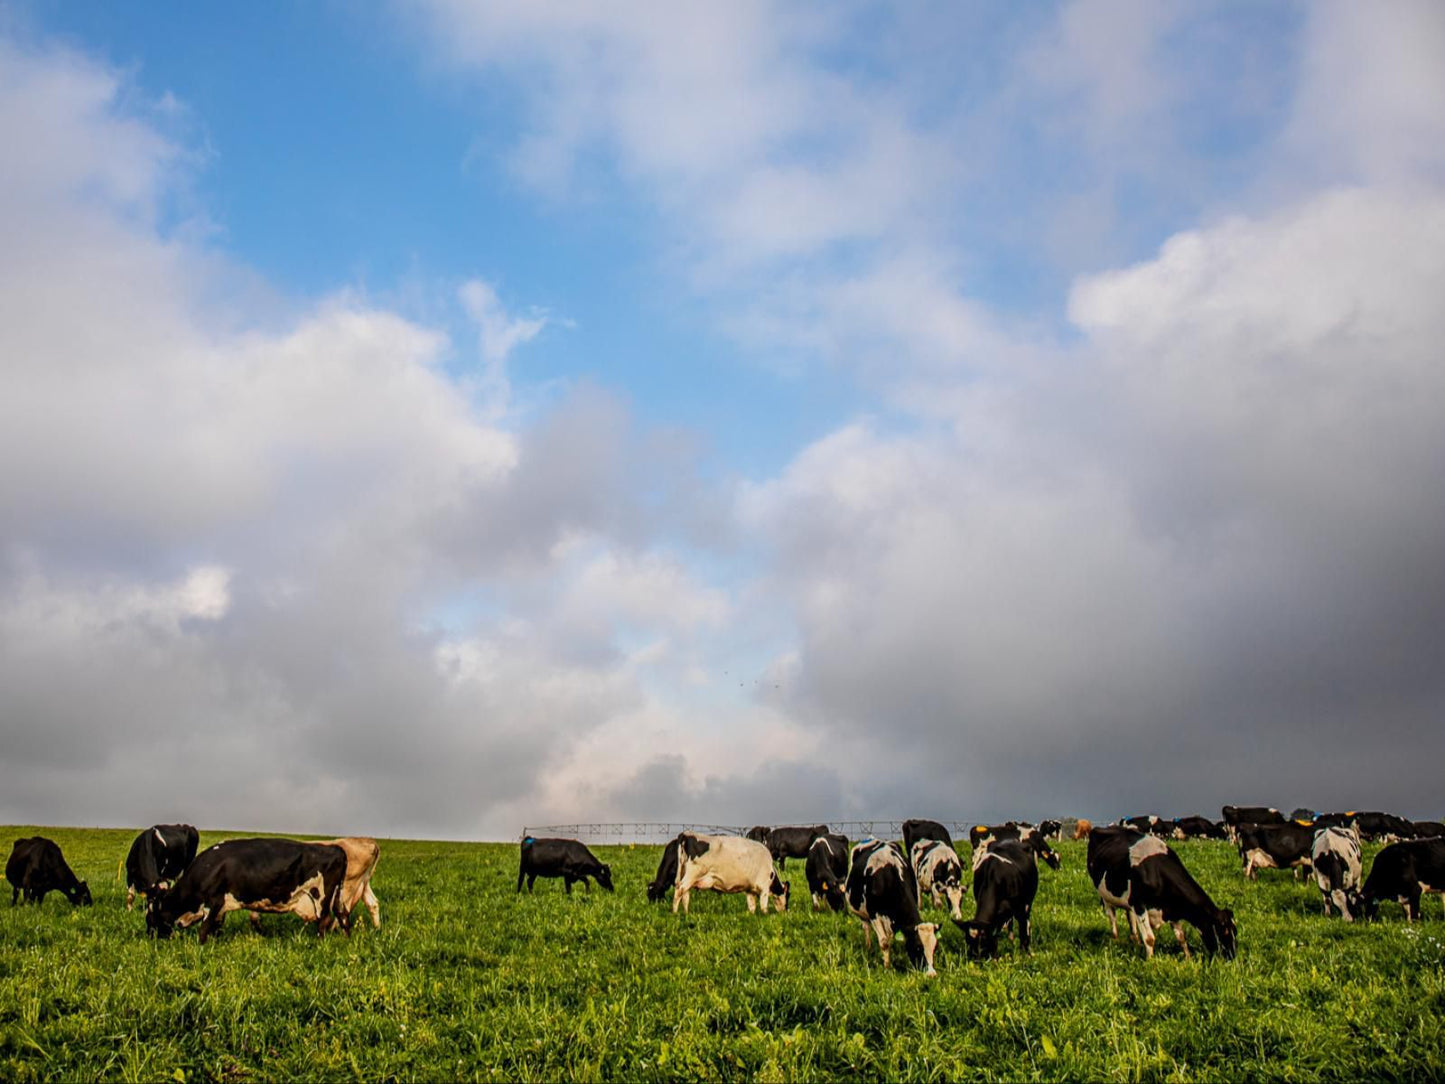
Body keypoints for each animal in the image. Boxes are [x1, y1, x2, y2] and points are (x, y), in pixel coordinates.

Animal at [144, 838, 349, 942]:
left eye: (150, 915)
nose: (148, 936)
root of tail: (336, 848)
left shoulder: (214, 901)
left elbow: (204, 929)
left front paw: (200, 946)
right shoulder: (221, 907)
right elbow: (215, 927)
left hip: (321, 896)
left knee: (324, 921)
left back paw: (318, 944)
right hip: (336, 896)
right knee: (343, 915)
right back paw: (346, 939)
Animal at [843, 838, 942, 977]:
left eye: (935, 948)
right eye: (918, 947)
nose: (931, 974)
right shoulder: (874, 914)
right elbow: (884, 942)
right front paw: (887, 967)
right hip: (863, 913)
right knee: (866, 927)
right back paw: (868, 947)